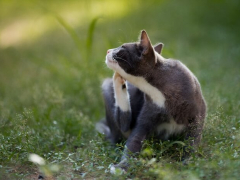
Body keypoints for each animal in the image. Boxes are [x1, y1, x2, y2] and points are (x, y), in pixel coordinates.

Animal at [95, 29, 206, 173]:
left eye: (122, 47)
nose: (108, 50)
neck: (155, 88)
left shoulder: (198, 113)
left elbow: (193, 139)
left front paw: (188, 161)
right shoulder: (147, 113)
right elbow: (133, 141)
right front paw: (122, 166)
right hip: (106, 89)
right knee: (120, 129)